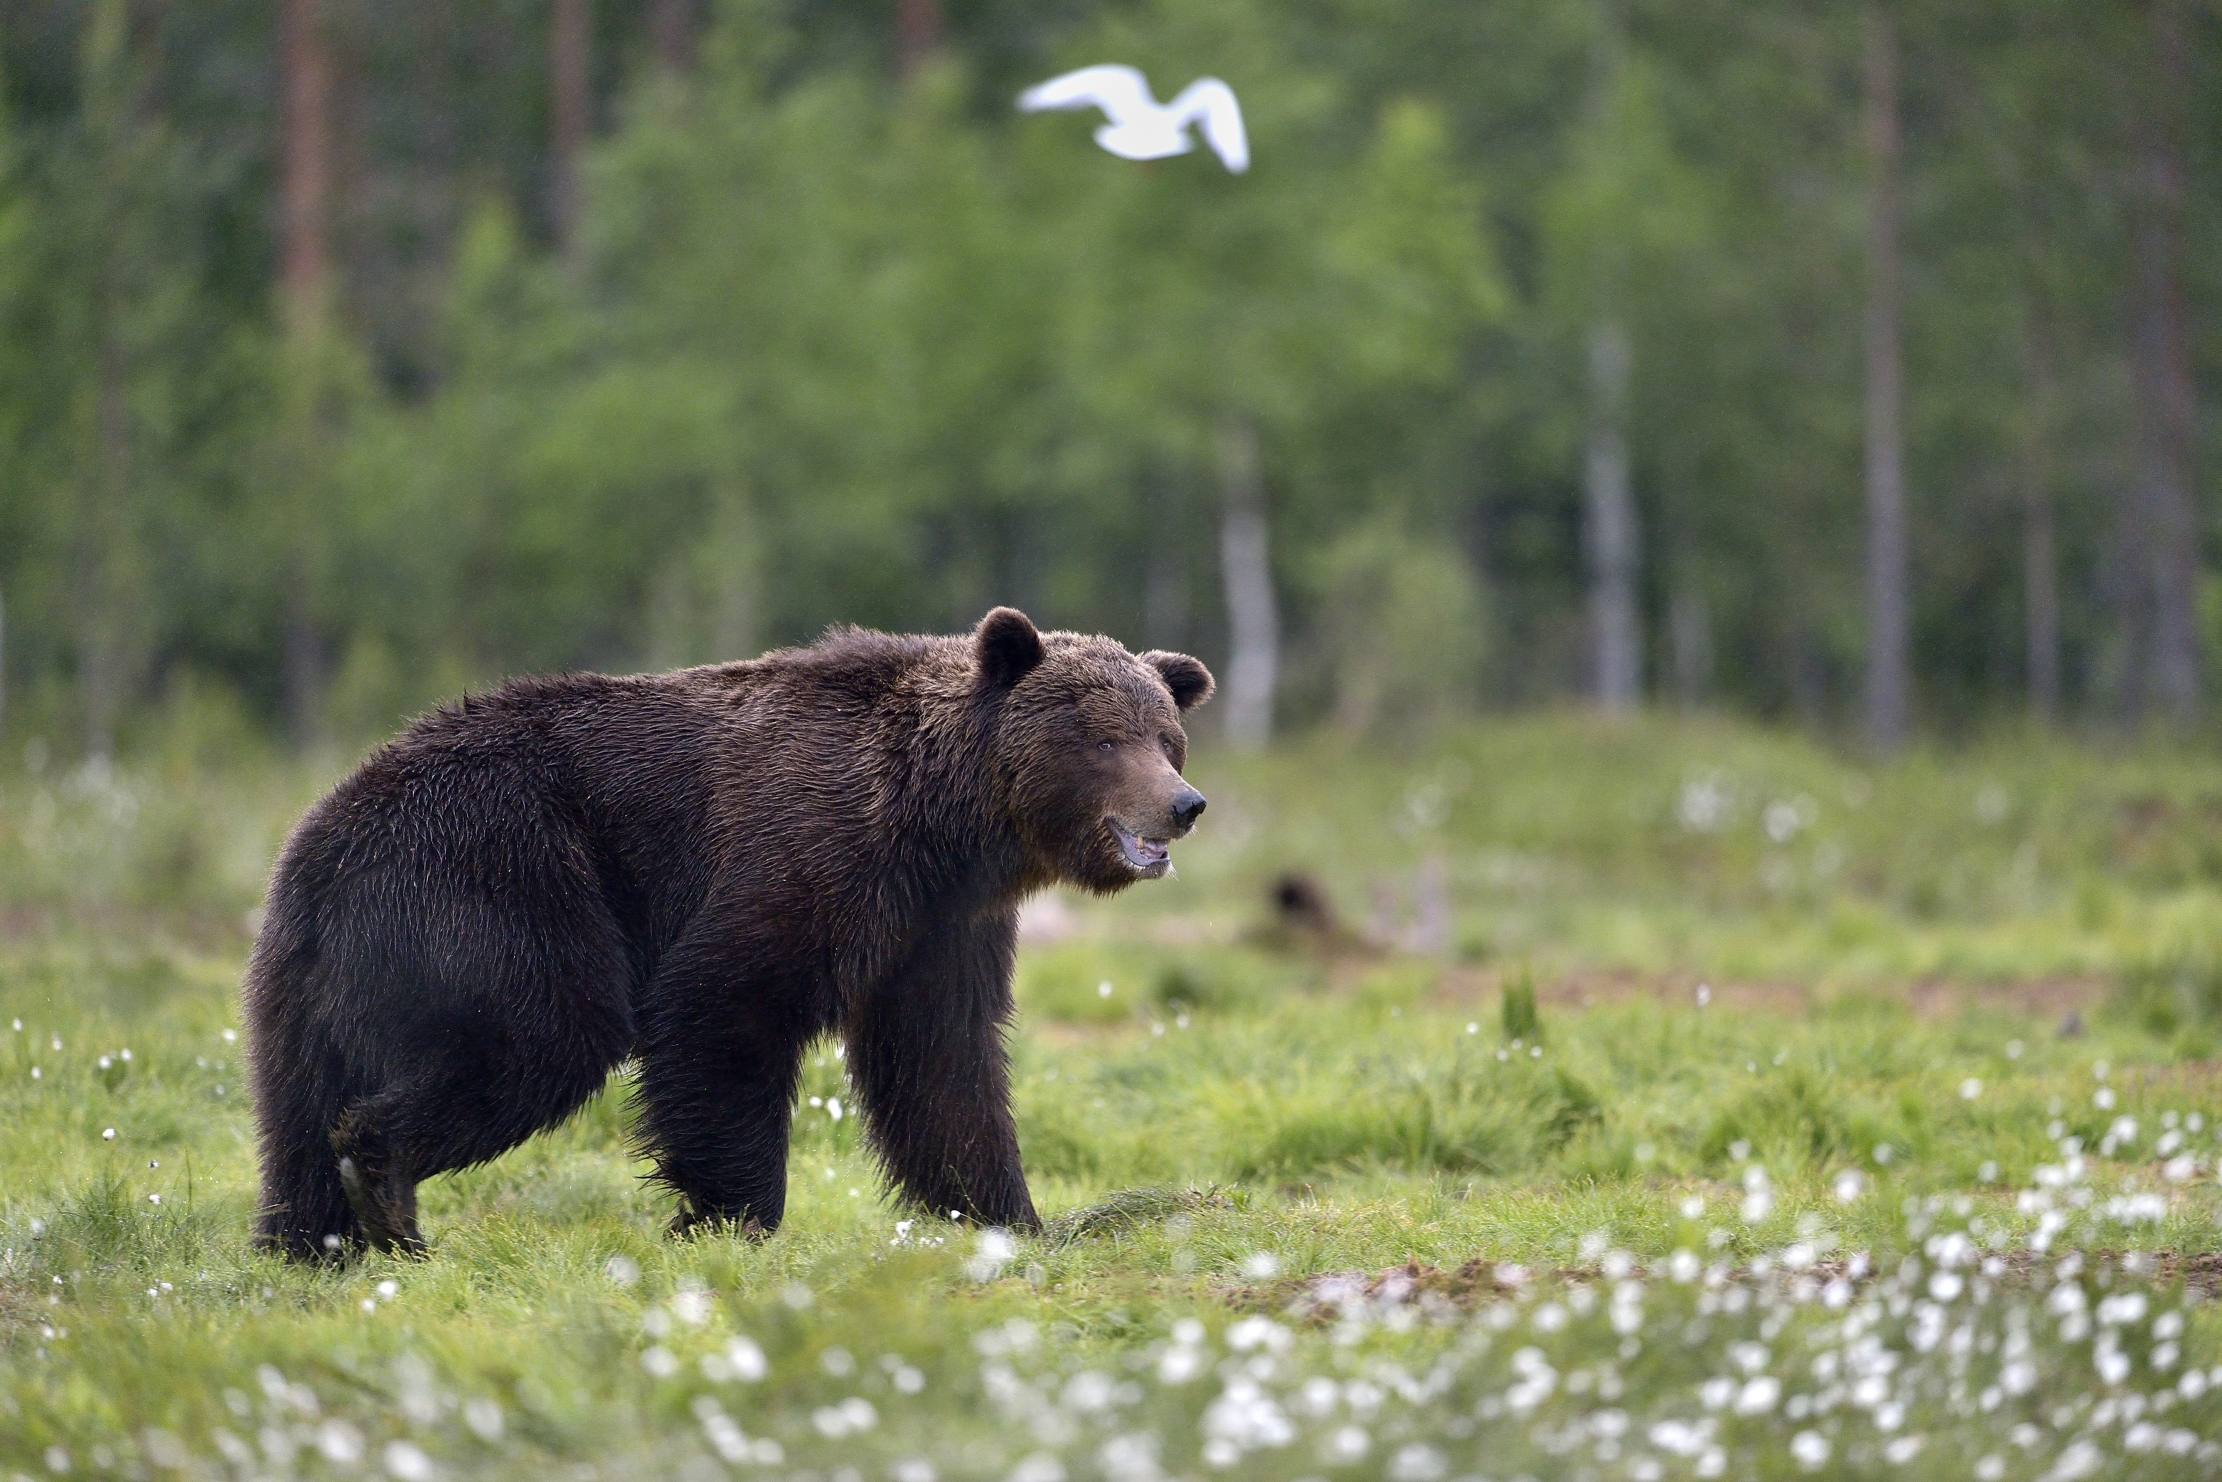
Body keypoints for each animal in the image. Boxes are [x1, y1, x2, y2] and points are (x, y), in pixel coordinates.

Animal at [244, 607, 1212, 1260]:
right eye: (1103, 738)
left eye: (1167, 735)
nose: (1183, 804)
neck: (945, 827)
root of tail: (322, 832)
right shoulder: (809, 850)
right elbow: (725, 1005)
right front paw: (728, 1216)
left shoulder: (939, 926)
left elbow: (944, 1065)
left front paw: (1013, 1216)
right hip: (498, 875)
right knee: (545, 1032)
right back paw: (381, 1183)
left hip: (314, 971)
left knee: (298, 1104)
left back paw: (315, 1242)